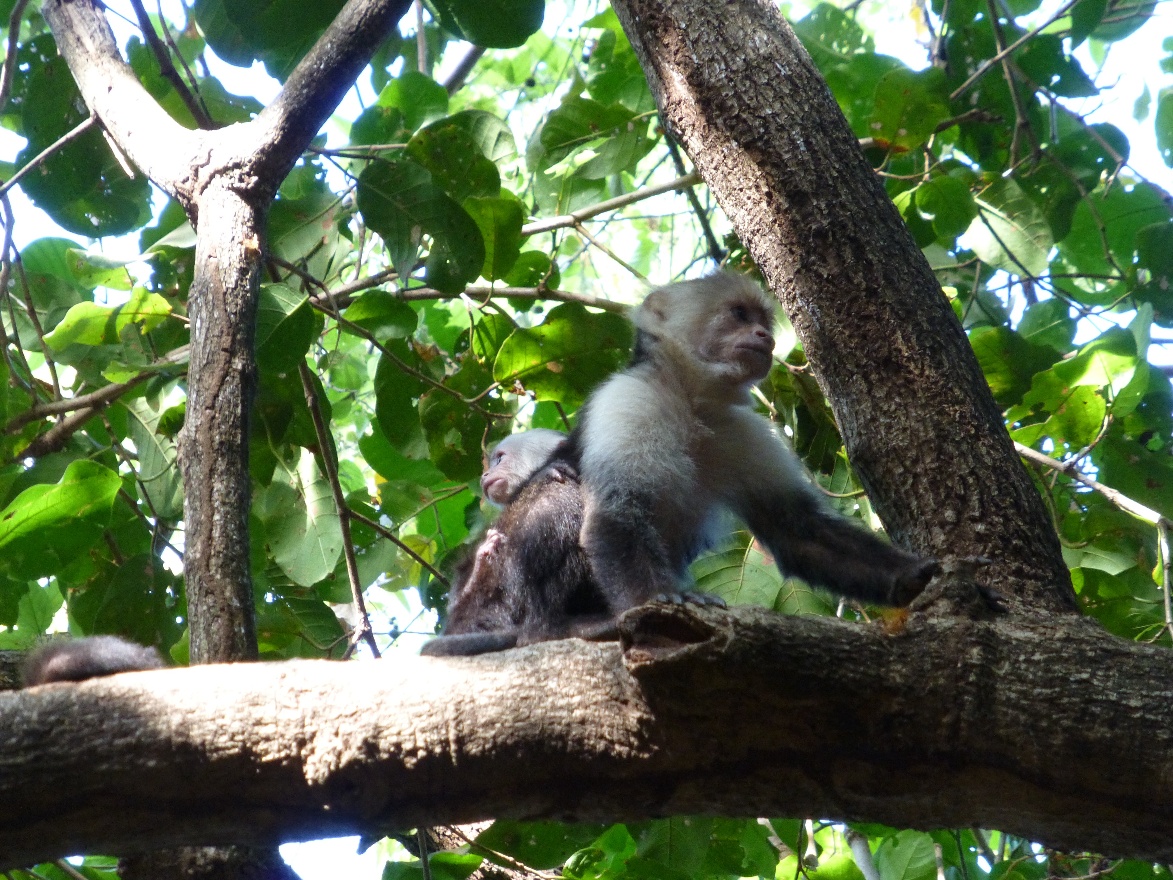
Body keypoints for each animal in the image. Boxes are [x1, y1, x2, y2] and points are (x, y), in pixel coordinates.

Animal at [562, 271, 938, 616]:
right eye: (739, 314)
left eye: (764, 322)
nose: (766, 337)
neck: (691, 401)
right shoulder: (631, 398)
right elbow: (617, 511)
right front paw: (657, 598)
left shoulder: (744, 431)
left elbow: (795, 529)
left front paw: (909, 574)